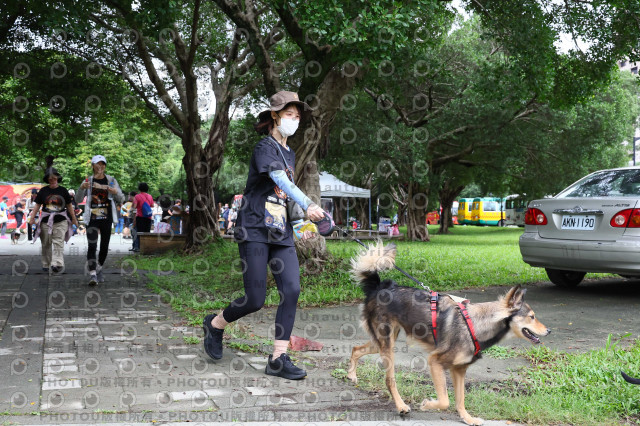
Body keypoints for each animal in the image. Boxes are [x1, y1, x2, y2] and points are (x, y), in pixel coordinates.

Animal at [344, 243, 552, 426]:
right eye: (532, 317)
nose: (549, 331)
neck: (477, 323)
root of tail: (380, 287)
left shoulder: (459, 369)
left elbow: (460, 400)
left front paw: (467, 419)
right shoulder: (435, 361)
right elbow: (445, 401)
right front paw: (427, 405)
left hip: (383, 341)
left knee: (355, 349)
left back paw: (351, 375)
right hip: (387, 345)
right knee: (389, 380)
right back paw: (401, 406)